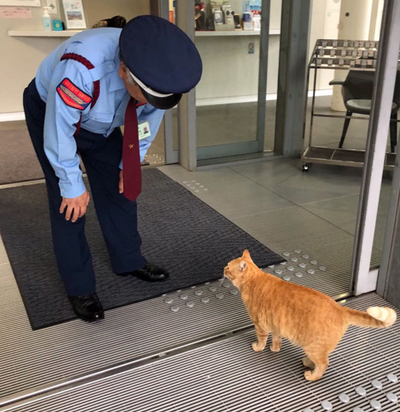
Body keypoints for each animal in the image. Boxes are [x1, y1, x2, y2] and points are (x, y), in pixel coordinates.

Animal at [223, 249, 396, 382]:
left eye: (228, 266)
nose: (223, 268)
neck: (254, 279)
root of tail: (340, 308)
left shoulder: (260, 326)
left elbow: (261, 340)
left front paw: (259, 347)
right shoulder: (276, 326)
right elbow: (276, 339)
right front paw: (275, 349)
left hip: (313, 346)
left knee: (323, 363)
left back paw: (311, 375)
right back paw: (307, 362)